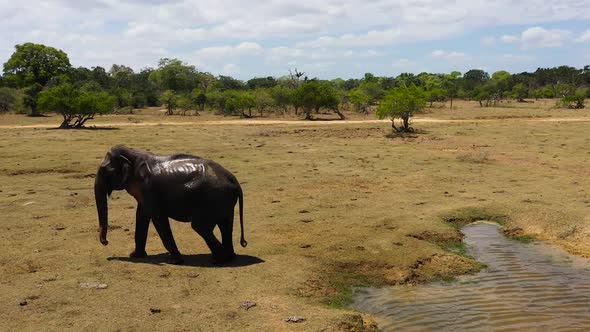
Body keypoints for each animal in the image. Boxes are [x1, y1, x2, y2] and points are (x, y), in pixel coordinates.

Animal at [95, 145, 247, 264]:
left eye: (106, 171)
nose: (106, 242)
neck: (133, 155)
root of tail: (235, 182)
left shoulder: (149, 189)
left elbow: (158, 218)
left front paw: (175, 261)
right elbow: (142, 216)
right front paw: (135, 255)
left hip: (213, 199)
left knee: (200, 227)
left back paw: (219, 259)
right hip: (224, 200)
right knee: (225, 225)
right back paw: (227, 258)